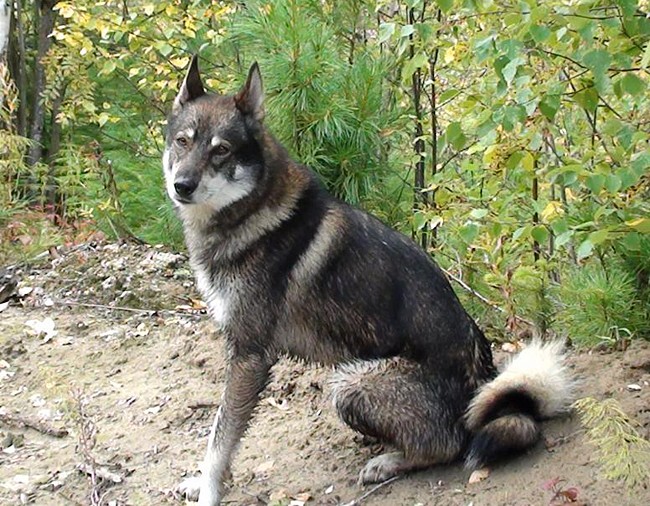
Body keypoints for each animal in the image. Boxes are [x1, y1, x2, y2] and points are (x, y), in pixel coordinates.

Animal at [163, 56, 574, 506]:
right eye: (182, 142)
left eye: (221, 150)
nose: (181, 185)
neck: (252, 213)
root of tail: (480, 388)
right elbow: (225, 437)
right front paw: (205, 482)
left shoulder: (249, 356)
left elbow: (219, 438)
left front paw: (209, 491)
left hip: (349, 382)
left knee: (449, 445)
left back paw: (388, 462)